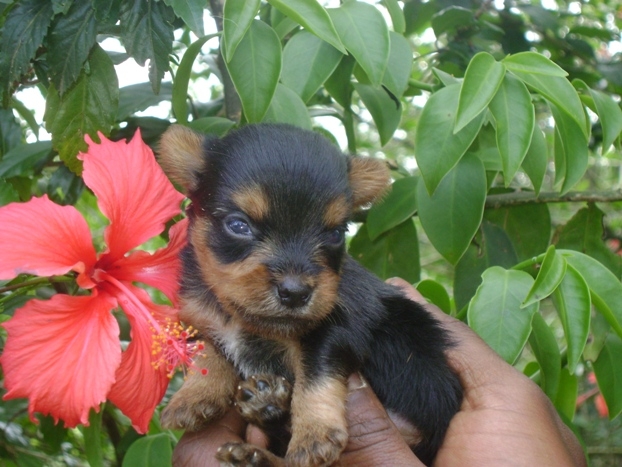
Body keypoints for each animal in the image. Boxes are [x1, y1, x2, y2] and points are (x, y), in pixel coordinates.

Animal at [158, 122, 466, 466]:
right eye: (238, 225)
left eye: (335, 233)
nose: (295, 293)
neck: (245, 320)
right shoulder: (199, 317)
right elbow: (208, 353)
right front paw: (193, 396)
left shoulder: (335, 330)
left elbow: (316, 377)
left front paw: (314, 435)